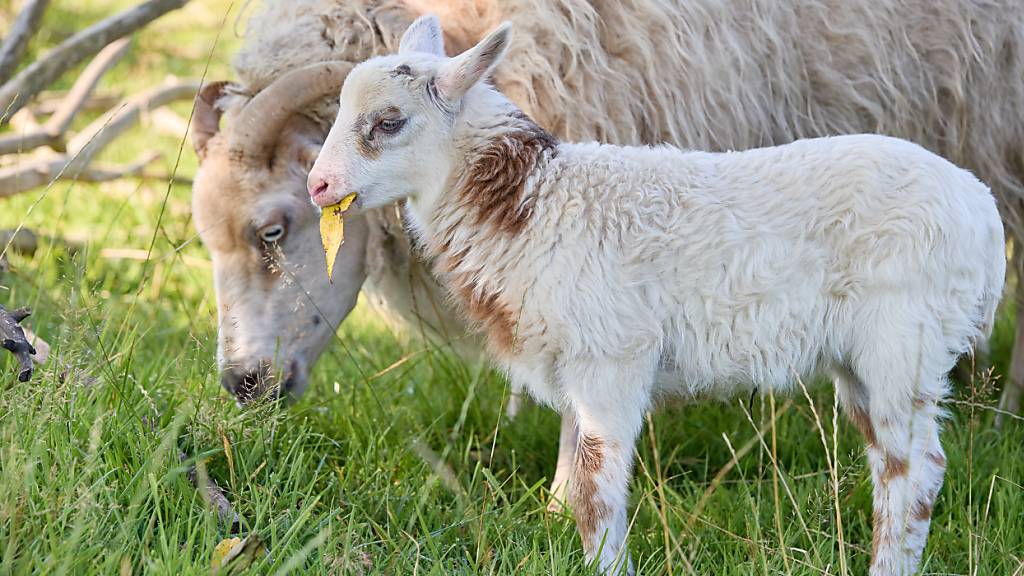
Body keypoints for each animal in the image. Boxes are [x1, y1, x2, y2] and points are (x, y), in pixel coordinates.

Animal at [305, 16, 1007, 573]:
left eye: (389, 122)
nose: (318, 185)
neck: (531, 206)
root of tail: (983, 212)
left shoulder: (612, 358)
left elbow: (595, 491)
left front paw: (607, 565)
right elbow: (576, 485)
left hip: (904, 340)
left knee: (913, 474)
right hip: (864, 357)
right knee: (896, 465)